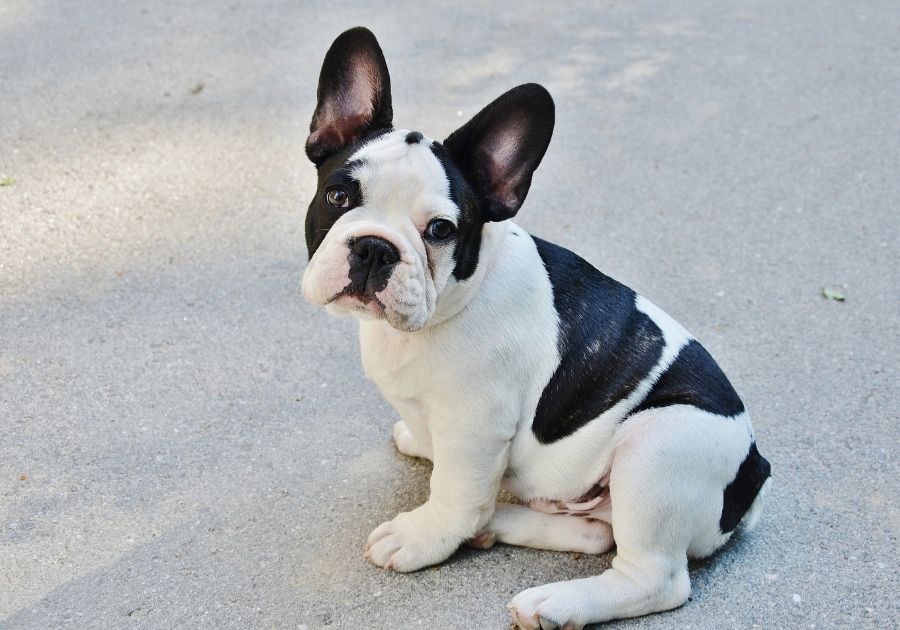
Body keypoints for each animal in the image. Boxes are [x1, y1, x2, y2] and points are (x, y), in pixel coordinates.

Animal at [298, 27, 768, 628]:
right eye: (338, 196)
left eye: (441, 230)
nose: (376, 247)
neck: (450, 303)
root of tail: (754, 472)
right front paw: (420, 444)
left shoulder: (475, 426)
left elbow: (454, 490)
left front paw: (423, 535)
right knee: (594, 535)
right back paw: (497, 525)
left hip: (659, 445)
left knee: (654, 577)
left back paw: (554, 601)